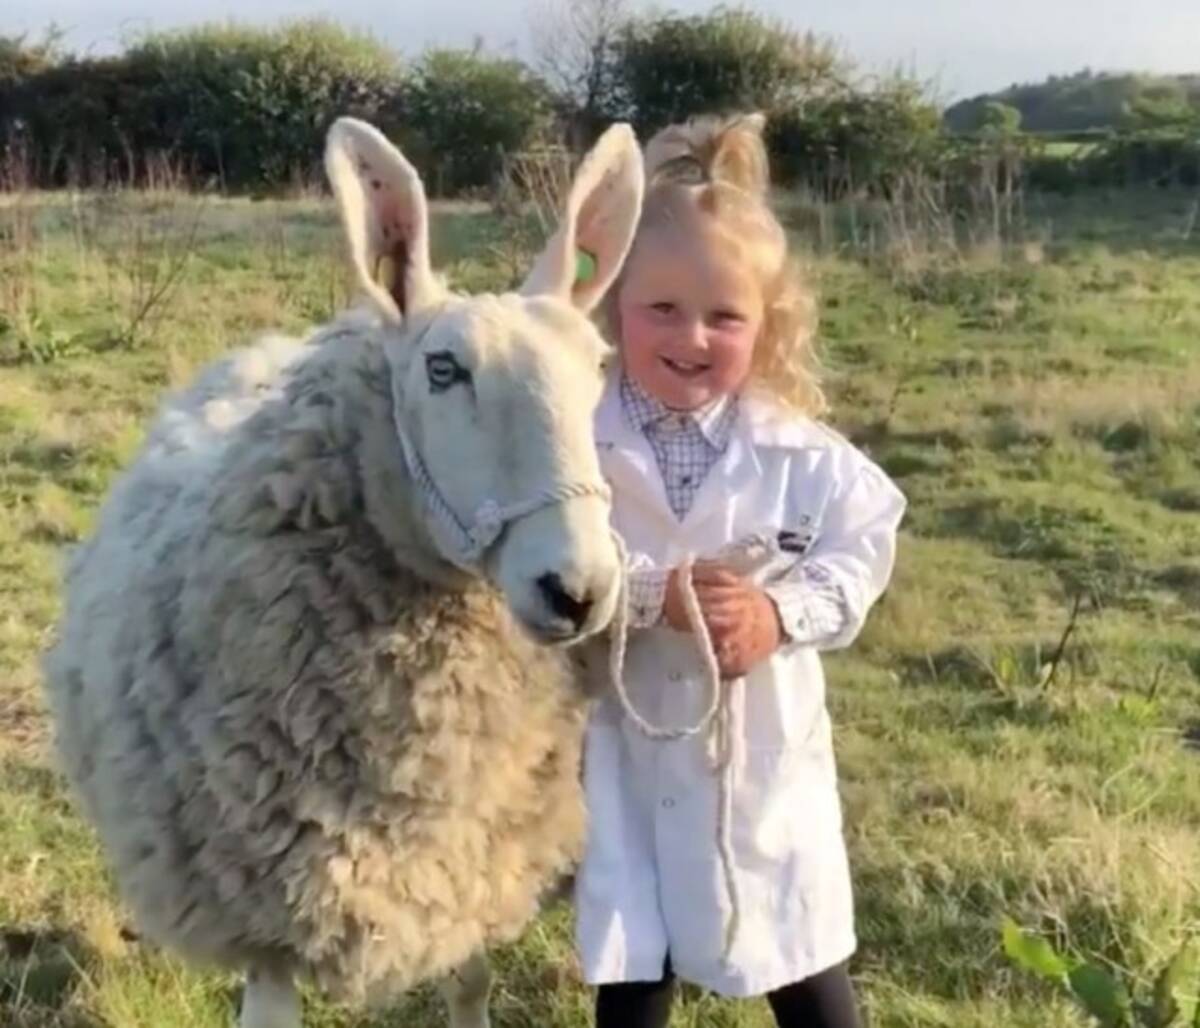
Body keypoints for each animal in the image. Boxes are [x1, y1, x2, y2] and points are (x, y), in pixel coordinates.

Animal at [42, 120, 648, 1026]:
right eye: (443, 369)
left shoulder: (465, 878)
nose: (577, 590)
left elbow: (469, 986)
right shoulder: (265, 920)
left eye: (602, 366)